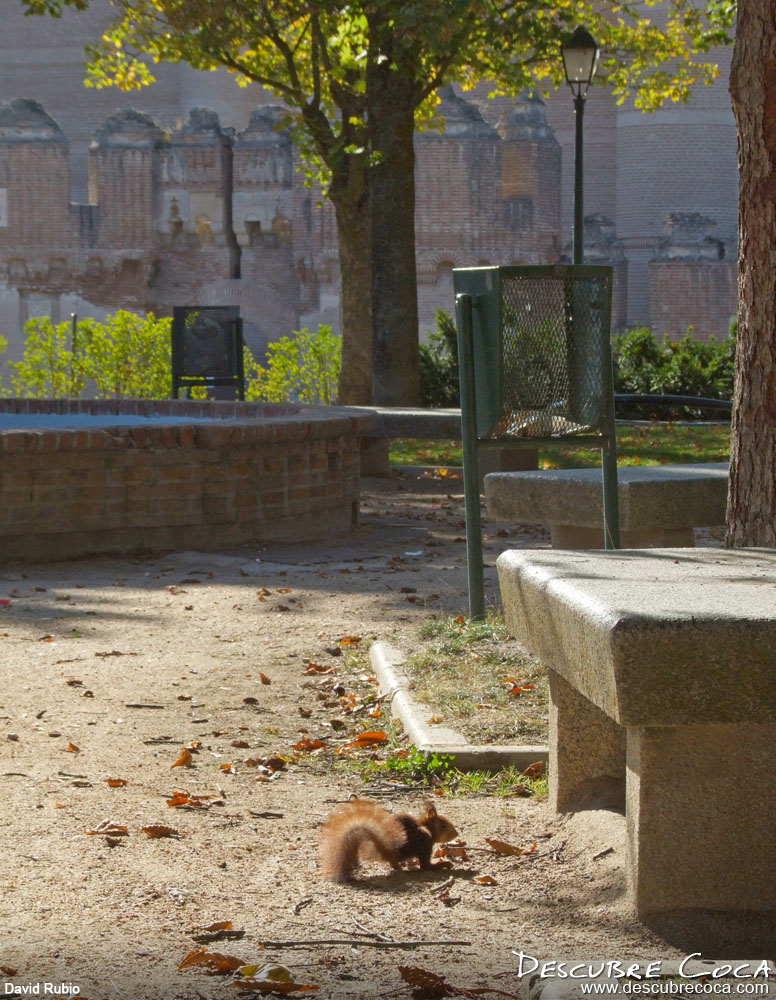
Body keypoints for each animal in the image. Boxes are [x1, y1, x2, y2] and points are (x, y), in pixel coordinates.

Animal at [319, 797, 458, 883]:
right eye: (444, 826)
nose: (456, 834)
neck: (426, 827)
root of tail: (386, 850)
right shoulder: (426, 843)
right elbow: (425, 866)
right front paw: (443, 864)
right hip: (423, 845)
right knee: (421, 866)